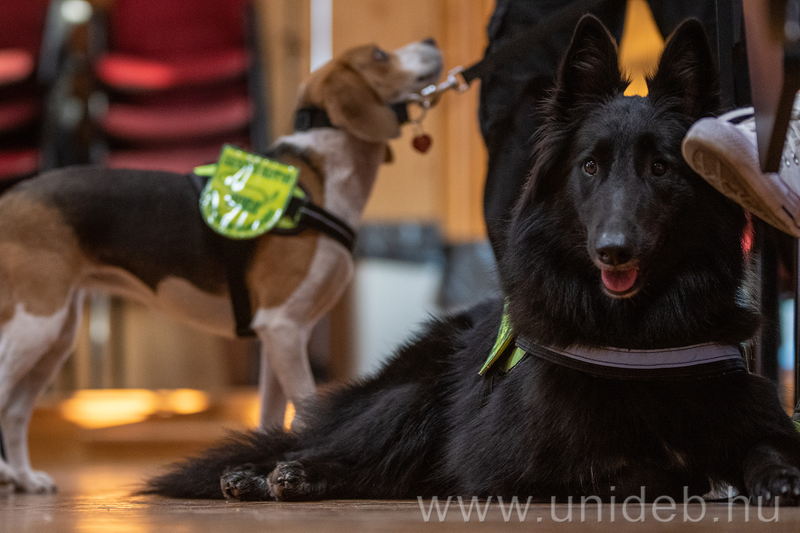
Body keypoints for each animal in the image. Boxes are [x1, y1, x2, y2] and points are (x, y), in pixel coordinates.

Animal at [0, 40, 442, 493]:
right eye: (379, 56)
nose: (430, 42)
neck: (323, 176)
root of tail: (11, 197)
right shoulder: (285, 328)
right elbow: (305, 410)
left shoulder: (276, 337)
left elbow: (270, 418)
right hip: (35, 327)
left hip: (54, 339)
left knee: (14, 412)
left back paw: (24, 478)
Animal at [142, 16, 800, 505]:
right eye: (590, 166)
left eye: (661, 167)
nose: (613, 249)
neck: (636, 334)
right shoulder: (519, 462)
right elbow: (639, 468)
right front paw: (696, 475)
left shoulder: (748, 413)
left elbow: (763, 444)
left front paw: (772, 477)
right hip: (414, 397)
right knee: (336, 450)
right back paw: (274, 473)